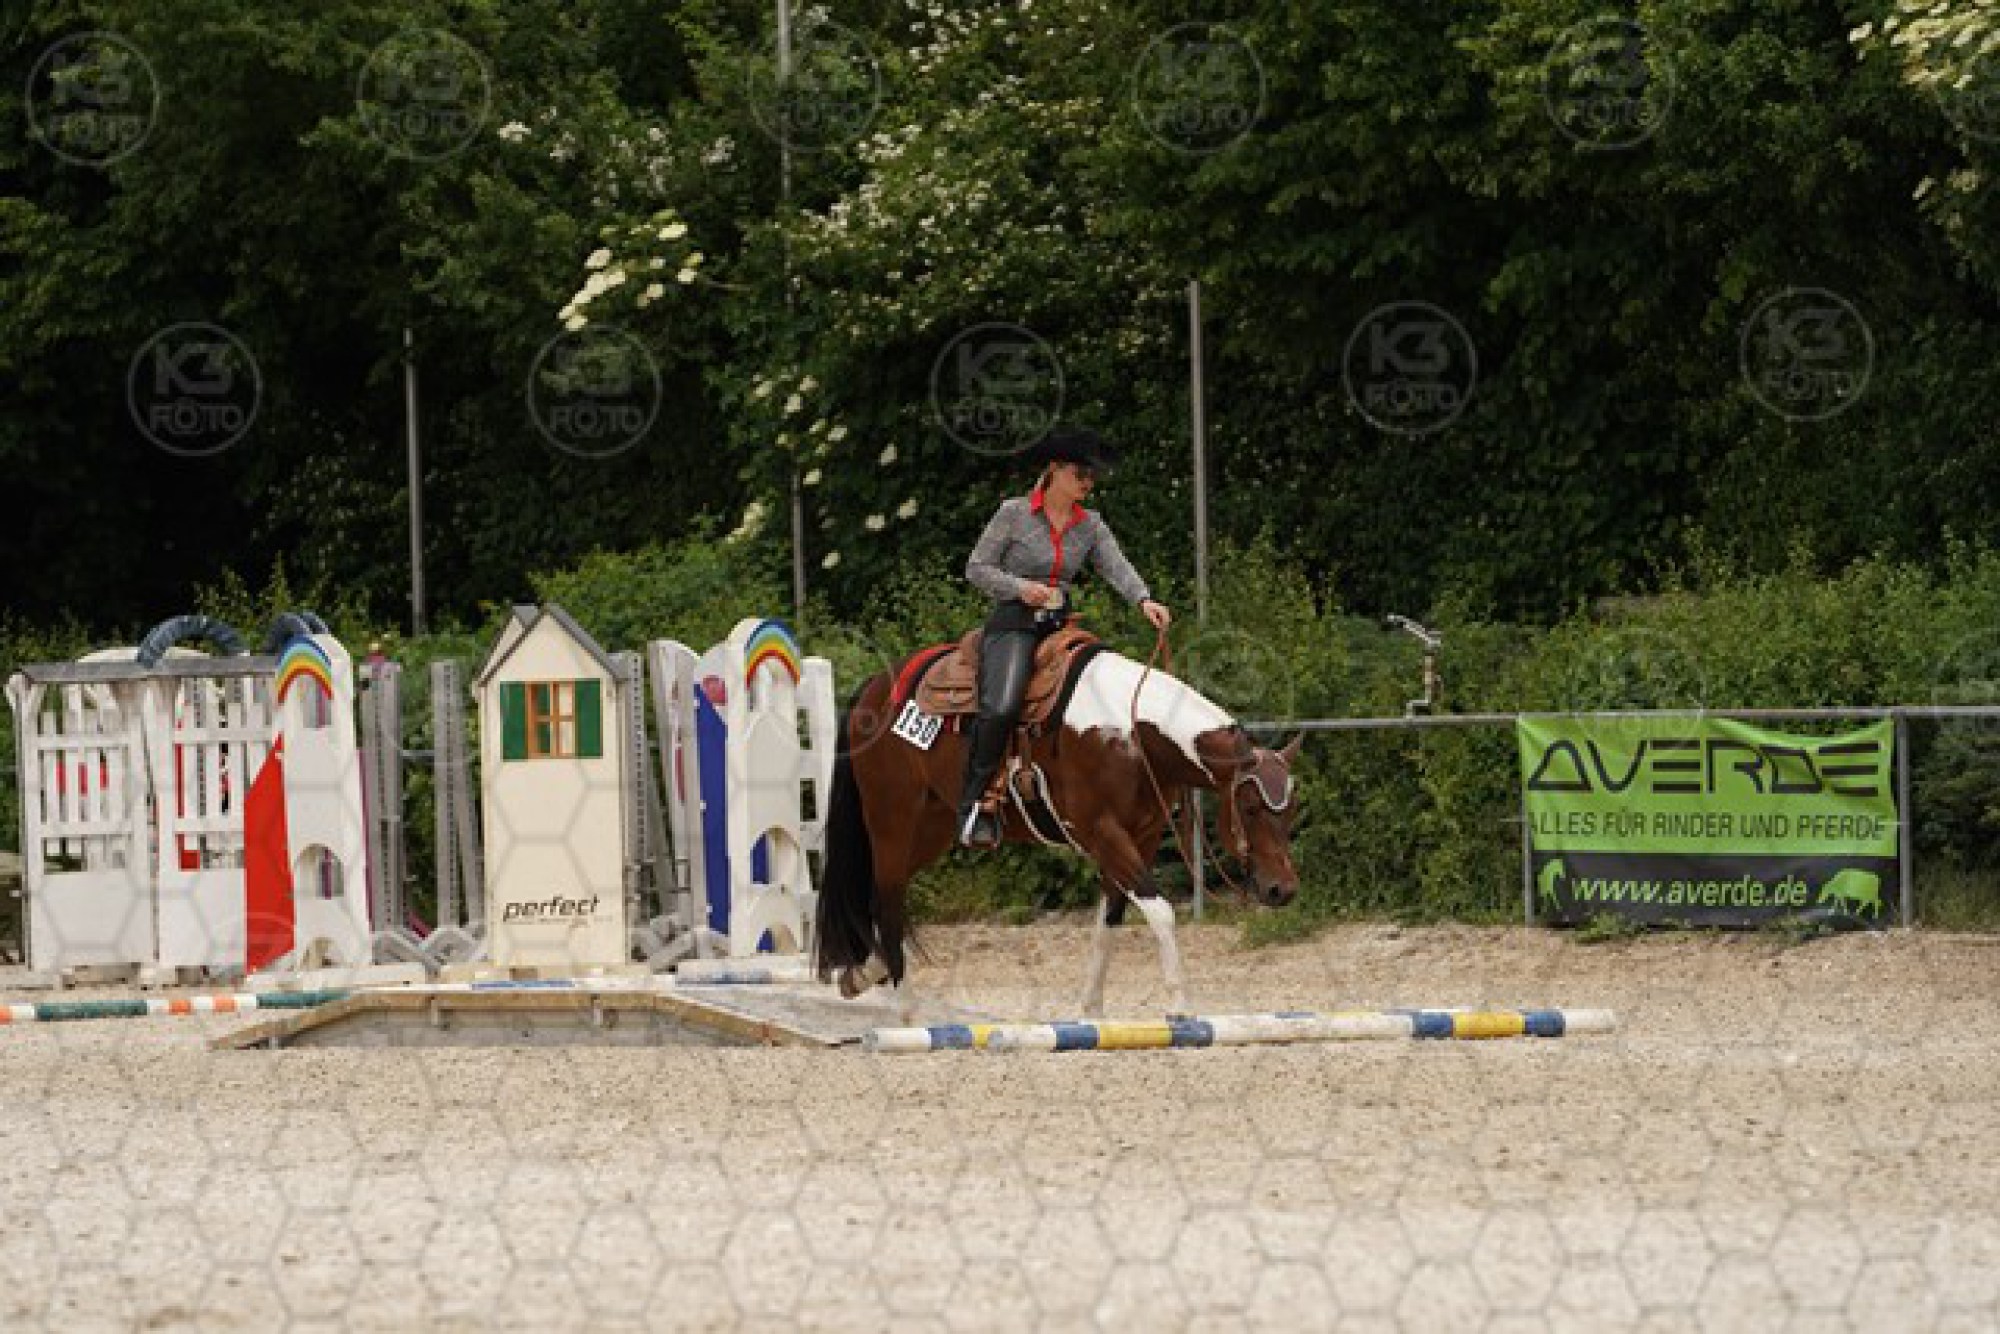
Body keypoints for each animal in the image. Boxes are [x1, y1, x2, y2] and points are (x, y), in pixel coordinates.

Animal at [812, 644, 1304, 1019]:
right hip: (892, 822)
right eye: (1252, 807)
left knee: (879, 896)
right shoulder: (1103, 833)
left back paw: (863, 973)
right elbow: (1161, 911)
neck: (1131, 732)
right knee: (888, 900)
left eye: (1292, 809)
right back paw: (906, 1008)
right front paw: (1180, 1007)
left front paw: (1092, 1011)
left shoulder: (1137, 840)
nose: (1282, 890)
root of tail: (875, 688)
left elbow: (1109, 921)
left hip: (932, 829)